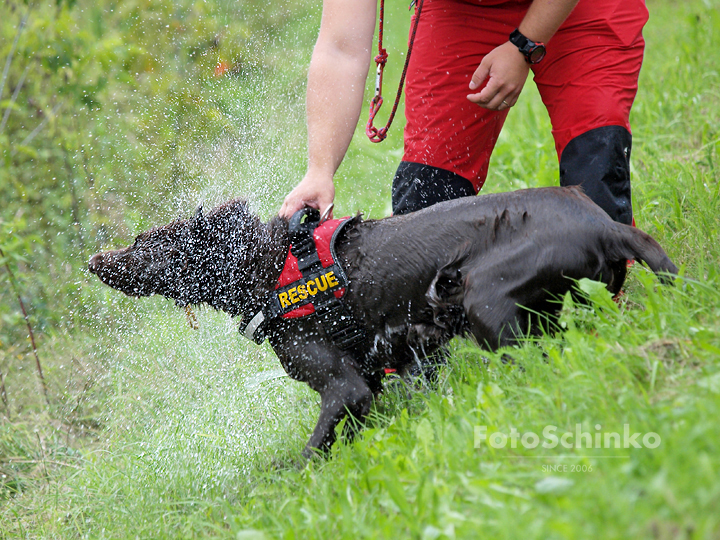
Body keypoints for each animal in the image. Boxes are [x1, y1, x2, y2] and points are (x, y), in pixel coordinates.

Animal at [88, 188, 676, 458]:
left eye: (141, 242)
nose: (93, 260)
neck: (271, 269)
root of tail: (606, 225)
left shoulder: (345, 387)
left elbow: (313, 449)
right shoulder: (384, 368)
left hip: (485, 300)